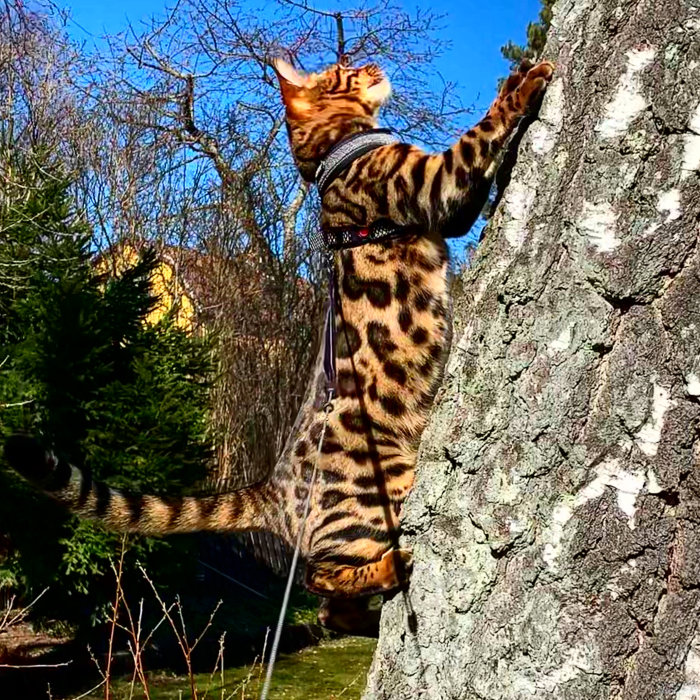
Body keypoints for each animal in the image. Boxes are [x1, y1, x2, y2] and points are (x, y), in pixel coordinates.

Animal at [4, 57, 552, 600]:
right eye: (345, 68)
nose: (373, 63)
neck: (335, 154)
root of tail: (267, 486)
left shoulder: (447, 209)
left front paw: (517, 74)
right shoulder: (431, 182)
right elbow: (478, 137)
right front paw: (524, 83)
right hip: (376, 492)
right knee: (320, 578)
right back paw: (389, 570)